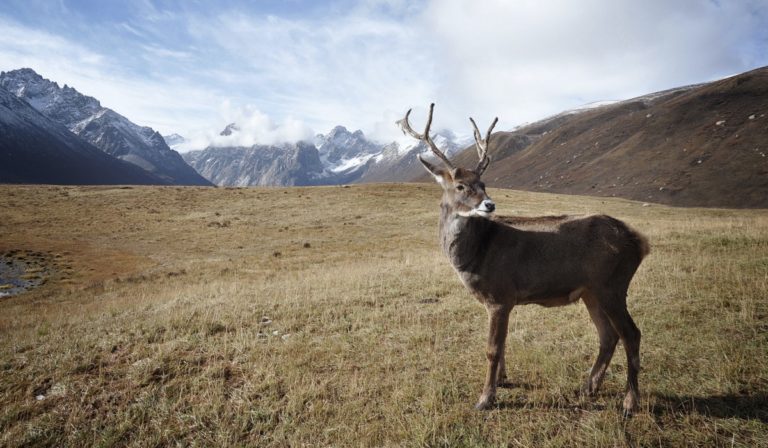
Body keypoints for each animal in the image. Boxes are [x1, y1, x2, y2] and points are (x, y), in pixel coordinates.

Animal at [400, 103, 652, 414]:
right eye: (460, 186)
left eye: (483, 182)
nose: (489, 204)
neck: (476, 254)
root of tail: (640, 242)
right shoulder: (503, 301)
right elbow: (503, 344)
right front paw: (502, 381)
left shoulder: (499, 295)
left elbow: (492, 349)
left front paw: (485, 399)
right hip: (591, 291)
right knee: (608, 335)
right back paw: (588, 387)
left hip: (613, 284)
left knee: (631, 333)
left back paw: (630, 402)